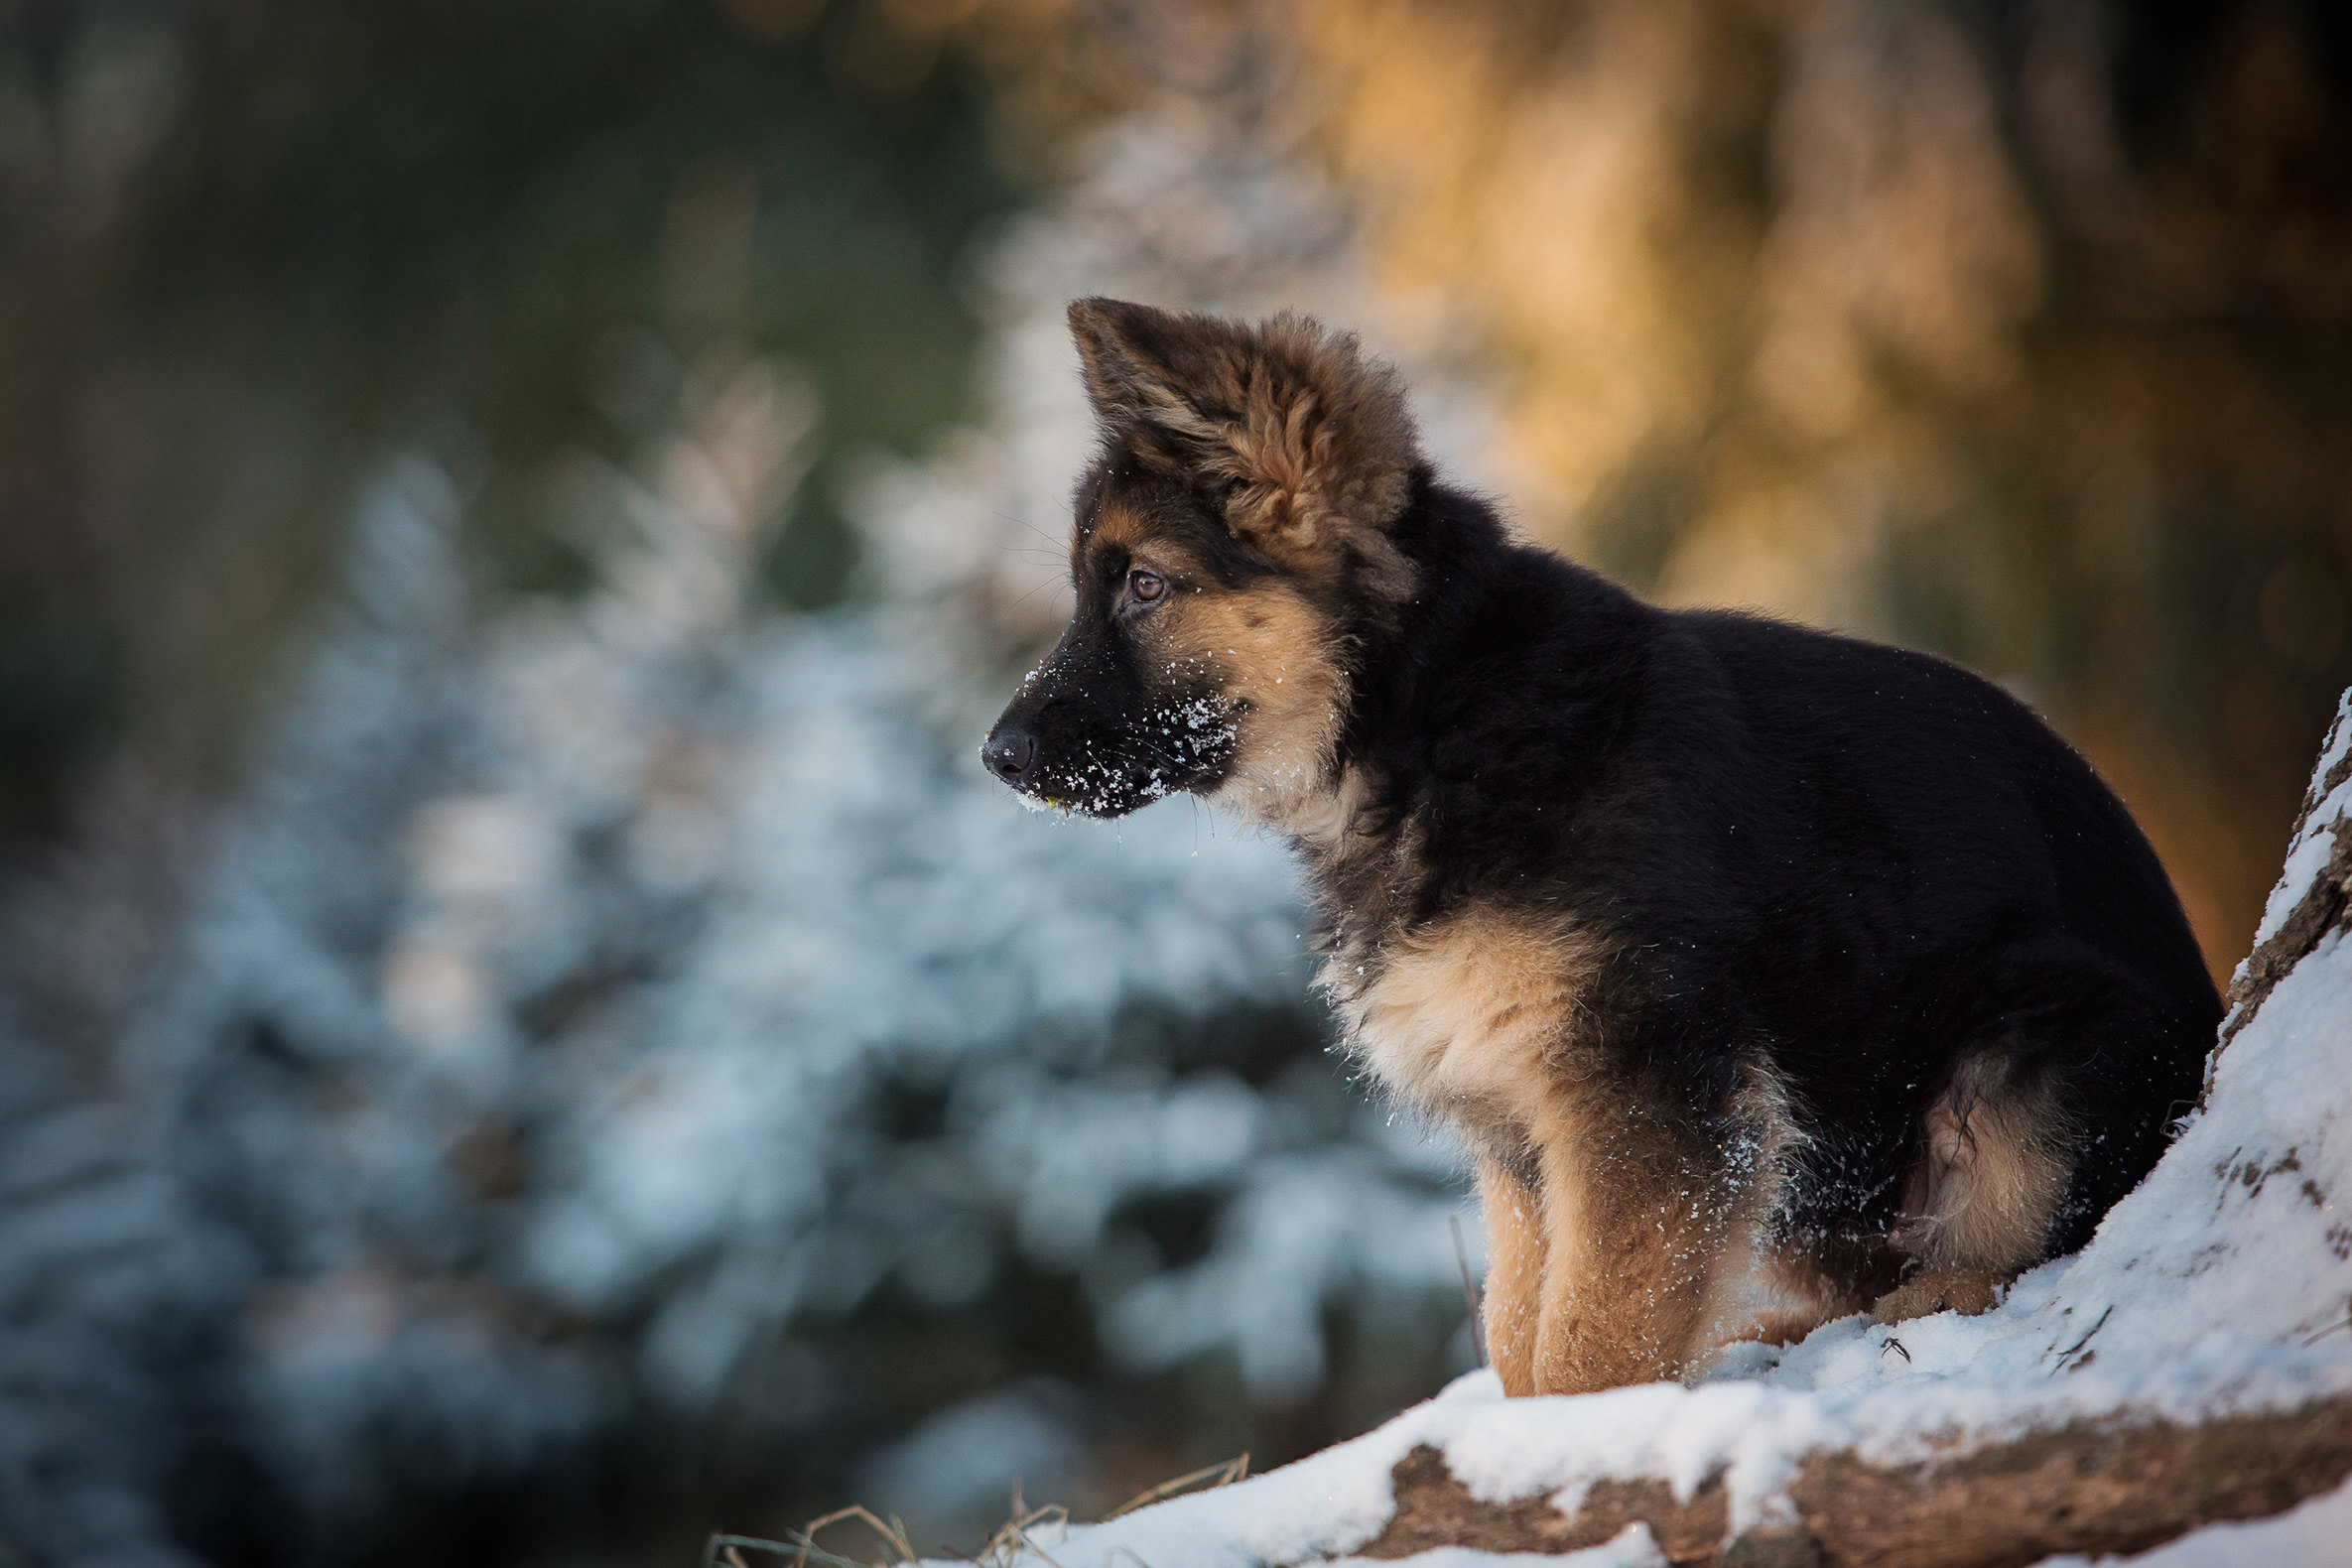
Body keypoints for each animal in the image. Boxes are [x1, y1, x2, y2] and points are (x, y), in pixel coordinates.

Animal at [978, 297, 2220, 1400]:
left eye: (1146, 585)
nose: (995, 757)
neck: (1436, 717)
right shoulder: (1525, 1126)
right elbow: (1521, 1331)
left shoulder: (1649, 1093)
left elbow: (1592, 1343)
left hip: (2021, 1059)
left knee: (2029, 1248)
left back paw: (1932, 1299)